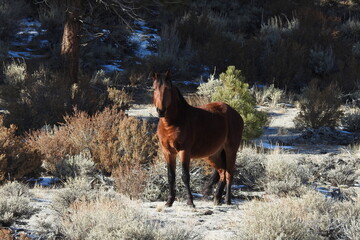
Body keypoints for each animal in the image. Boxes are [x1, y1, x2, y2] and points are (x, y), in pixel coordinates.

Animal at [153, 71, 243, 206]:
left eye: (167, 89)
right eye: (154, 89)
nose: (161, 111)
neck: (172, 123)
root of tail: (236, 113)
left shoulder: (184, 151)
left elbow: (185, 176)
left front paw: (190, 202)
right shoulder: (168, 152)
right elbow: (171, 176)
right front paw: (169, 201)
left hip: (231, 150)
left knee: (229, 174)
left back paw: (227, 200)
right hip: (213, 154)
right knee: (222, 172)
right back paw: (217, 199)